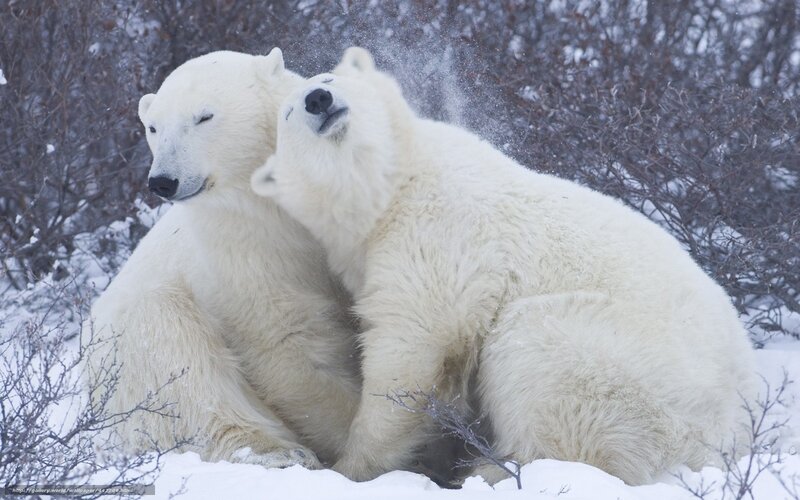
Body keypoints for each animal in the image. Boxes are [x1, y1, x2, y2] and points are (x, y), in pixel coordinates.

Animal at [85, 48, 362, 470]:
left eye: (204, 116)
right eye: (154, 128)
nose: (163, 181)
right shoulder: (242, 250)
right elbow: (288, 342)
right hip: (131, 350)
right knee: (181, 364)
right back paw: (277, 452)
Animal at [250, 47, 758, 485]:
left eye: (329, 79)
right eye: (288, 114)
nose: (318, 100)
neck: (393, 187)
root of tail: (730, 435)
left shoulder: (439, 232)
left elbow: (414, 345)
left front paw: (352, 467)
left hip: (627, 368)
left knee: (538, 357)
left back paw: (491, 468)